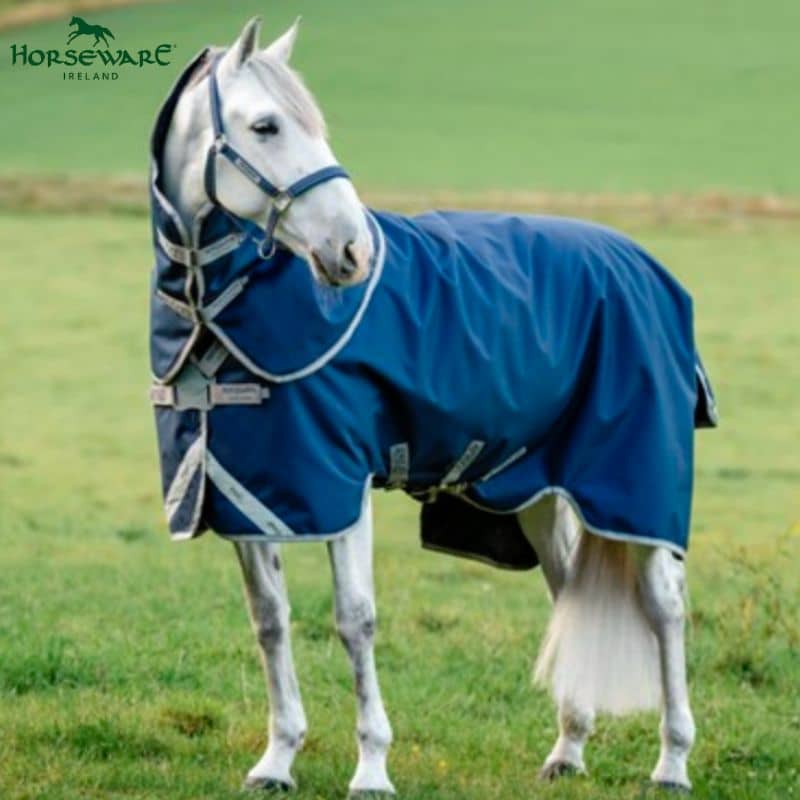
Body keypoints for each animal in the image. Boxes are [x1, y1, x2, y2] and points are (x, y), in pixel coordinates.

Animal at [150, 16, 715, 796]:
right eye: (265, 126)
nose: (352, 252)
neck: (222, 312)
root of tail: (641, 263)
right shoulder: (248, 494)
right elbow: (269, 620)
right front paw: (278, 758)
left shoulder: (342, 484)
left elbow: (354, 619)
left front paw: (371, 766)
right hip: (540, 492)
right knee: (569, 593)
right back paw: (569, 749)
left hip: (634, 485)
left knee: (664, 608)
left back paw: (672, 761)